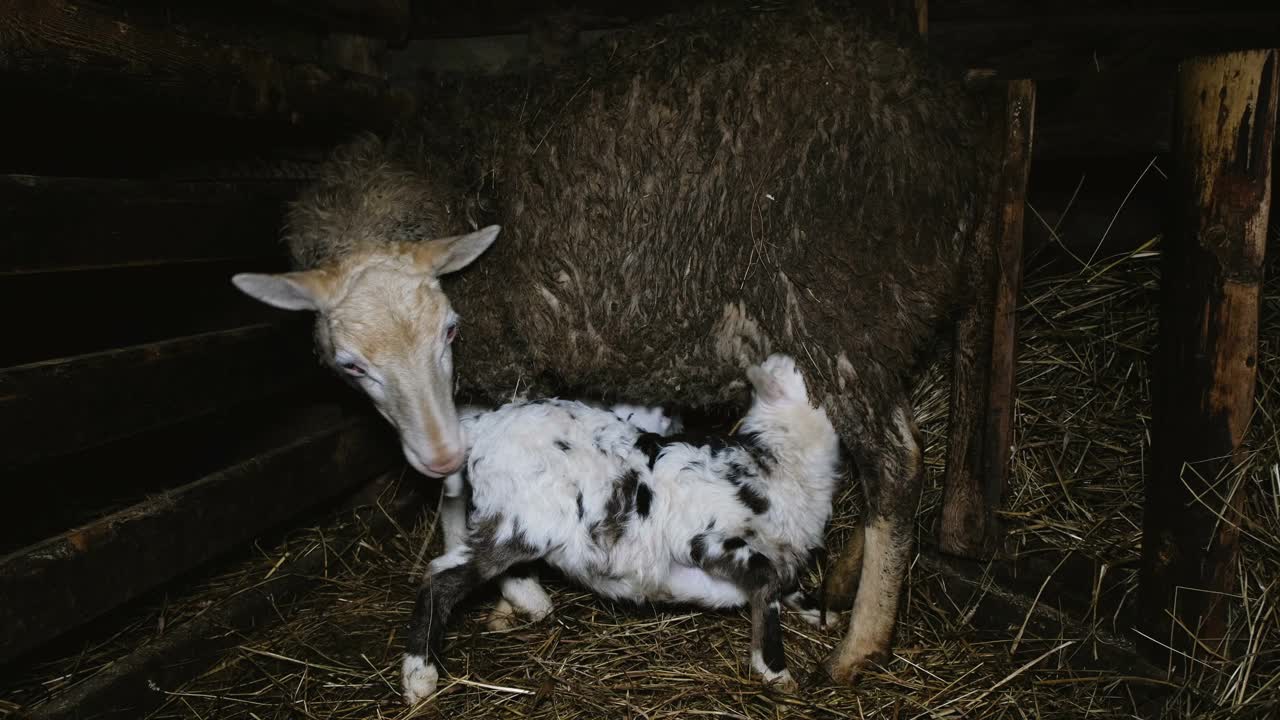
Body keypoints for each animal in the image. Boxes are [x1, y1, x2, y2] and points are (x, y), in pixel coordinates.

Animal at [227, 2, 988, 681]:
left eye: (450, 329)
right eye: (350, 364)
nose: (436, 453)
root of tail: (944, 117)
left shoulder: (505, 367)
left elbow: (464, 491)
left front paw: (516, 590)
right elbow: (456, 488)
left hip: (842, 304)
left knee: (896, 463)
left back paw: (861, 644)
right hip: (892, 317)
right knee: (897, 457)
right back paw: (843, 585)